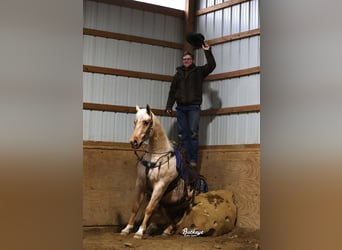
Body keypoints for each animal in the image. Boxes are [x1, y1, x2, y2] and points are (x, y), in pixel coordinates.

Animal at [121, 104, 192, 239]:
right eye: (135, 122)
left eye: (146, 122)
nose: (134, 142)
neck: (155, 157)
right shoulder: (140, 183)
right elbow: (135, 207)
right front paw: (127, 229)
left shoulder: (160, 186)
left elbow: (148, 209)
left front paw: (139, 232)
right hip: (163, 204)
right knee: (170, 219)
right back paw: (166, 230)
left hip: (186, 203)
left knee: (180, 217)